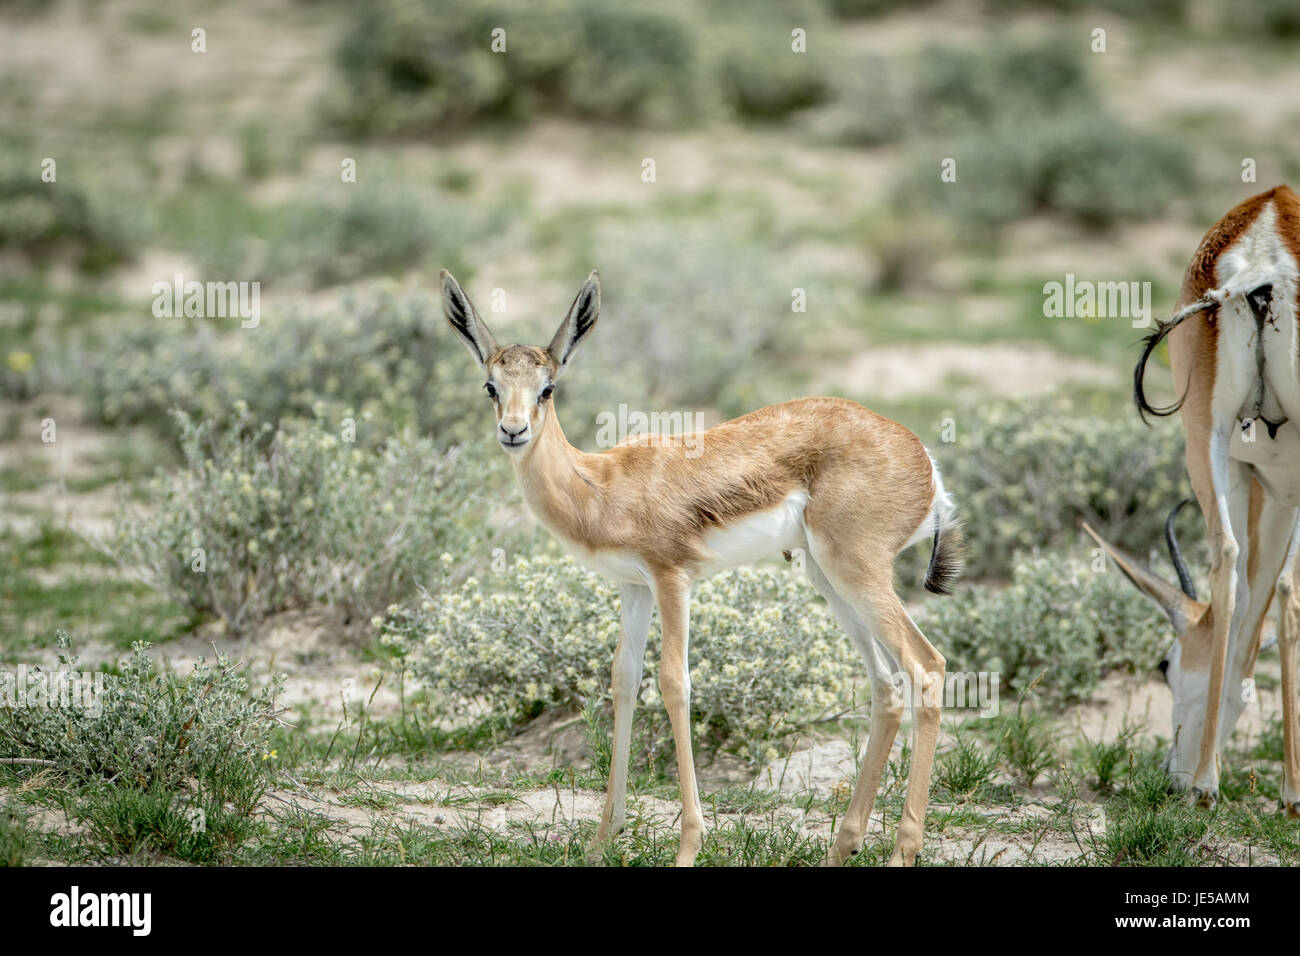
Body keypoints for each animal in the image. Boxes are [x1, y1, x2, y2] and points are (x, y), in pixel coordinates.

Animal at [447, 269, 967, 868]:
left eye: (546, 388)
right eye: (491, 385)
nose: (513, 431)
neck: (601, 487)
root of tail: (923, 457)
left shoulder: (673, 579)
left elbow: (675, 683)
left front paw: (688, 846)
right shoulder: (633, 588)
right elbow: (623, 680)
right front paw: (604, 838)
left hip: (856, 573)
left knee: (925, 667)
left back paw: (903, 850)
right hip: (828, 578)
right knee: (886, 686)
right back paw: (844, 844)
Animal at [1128, 183, 1300, 811]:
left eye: (1166, 665)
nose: (1169, 771)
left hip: (1208, 440)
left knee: (1229, 564)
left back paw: (1209, 783)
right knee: (1262, 577)